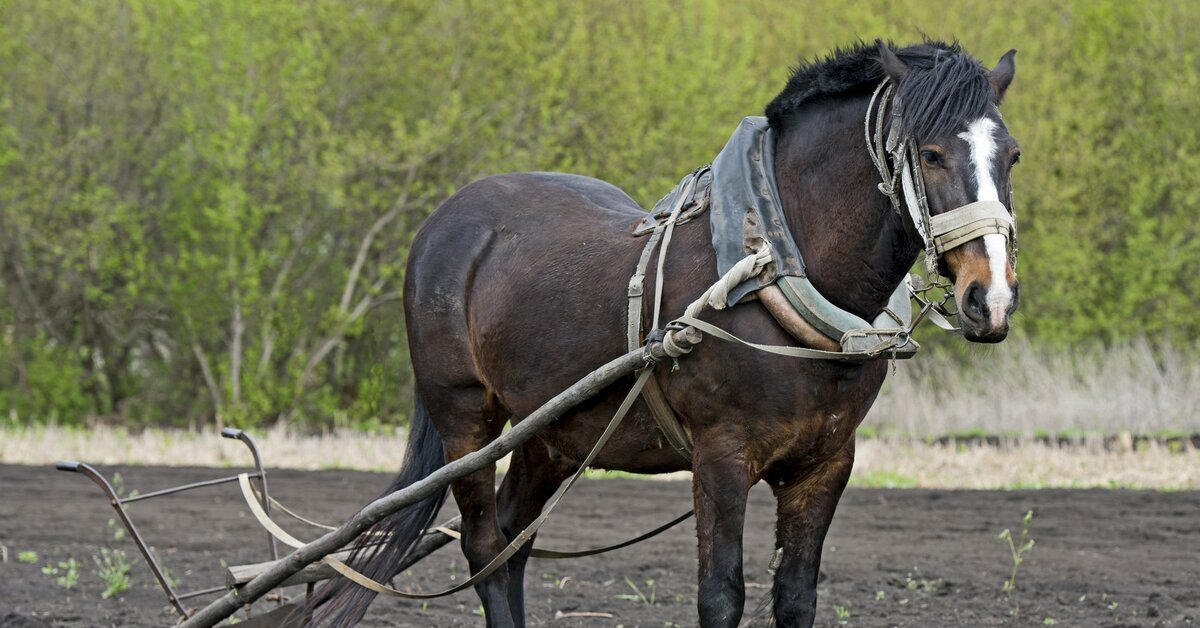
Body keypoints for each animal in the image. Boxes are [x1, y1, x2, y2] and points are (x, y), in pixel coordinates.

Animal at [312, 40, 1022, 628]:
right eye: (930, 154)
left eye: (1011, 155)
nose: (990, 298)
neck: (772, 263)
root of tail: (445, 222)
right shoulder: (721, 456)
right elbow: (720, 597)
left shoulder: (826, 463)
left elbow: (796, 597)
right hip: (465, 417)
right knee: (485, 545)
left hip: (553, 431)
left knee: (513, 543)